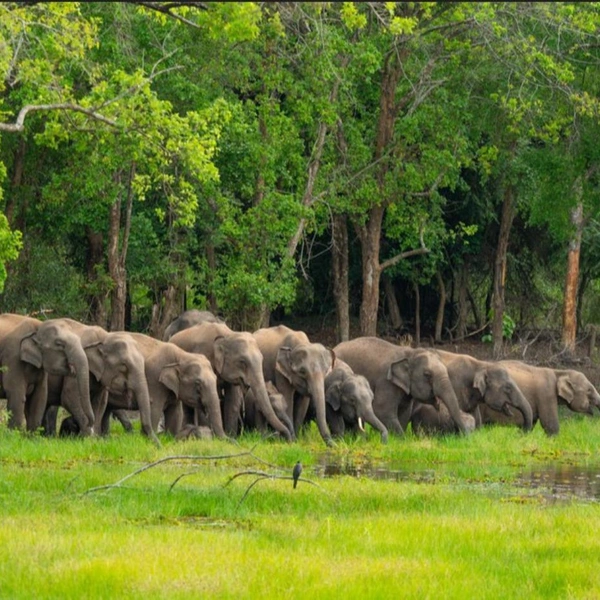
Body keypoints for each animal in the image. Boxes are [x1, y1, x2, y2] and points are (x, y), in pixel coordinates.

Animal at [336, 338, 472, 436]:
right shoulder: (386, 382)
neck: (410, 353)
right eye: (427, 375)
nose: (466, 436)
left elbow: (404, 412)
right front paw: (401, 438)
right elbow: (381, 410)